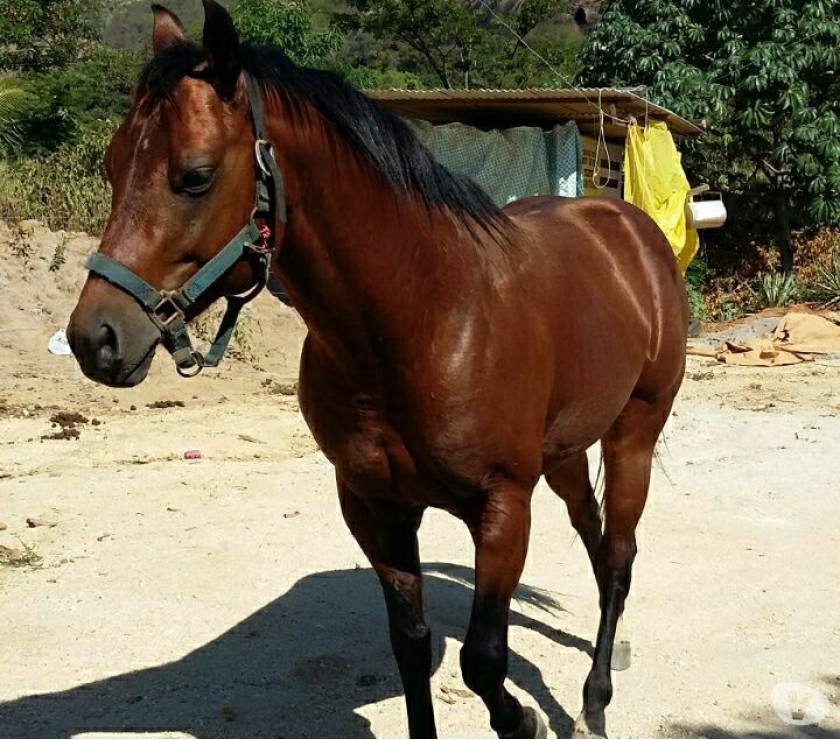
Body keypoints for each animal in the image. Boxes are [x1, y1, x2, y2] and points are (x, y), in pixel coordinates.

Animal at [66, 2, 688, 737]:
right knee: (595, 537)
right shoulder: (375, 507)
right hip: (563, 451)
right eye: (111, 166)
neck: (423, 318)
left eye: (194, 175)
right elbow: (411, 645)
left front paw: (526, 719)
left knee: (619, 551)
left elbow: (483, 660)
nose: (94, 339)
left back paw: (594, 697)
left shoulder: (503, 506)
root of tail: (628, 226)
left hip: (633, 435)